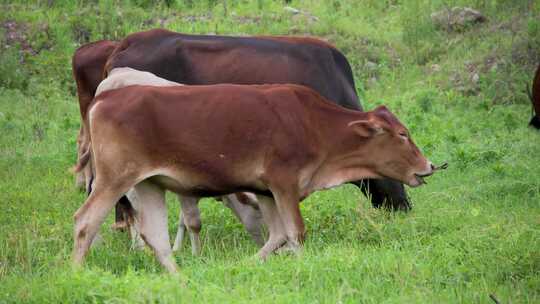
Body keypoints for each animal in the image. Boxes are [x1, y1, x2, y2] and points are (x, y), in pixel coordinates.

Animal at [71, 83, 436, 274]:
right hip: (114, 179)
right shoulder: (284, 182)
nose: (429, 166)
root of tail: (104, 98)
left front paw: (249, 263)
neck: (313, 124)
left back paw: (178, 277)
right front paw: (301, 266)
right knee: (85, 221)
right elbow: (296, 232)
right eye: (403, 134)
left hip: (150, 183)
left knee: (155, 236)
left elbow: (277, 235)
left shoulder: (266, 192)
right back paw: (76, 270)